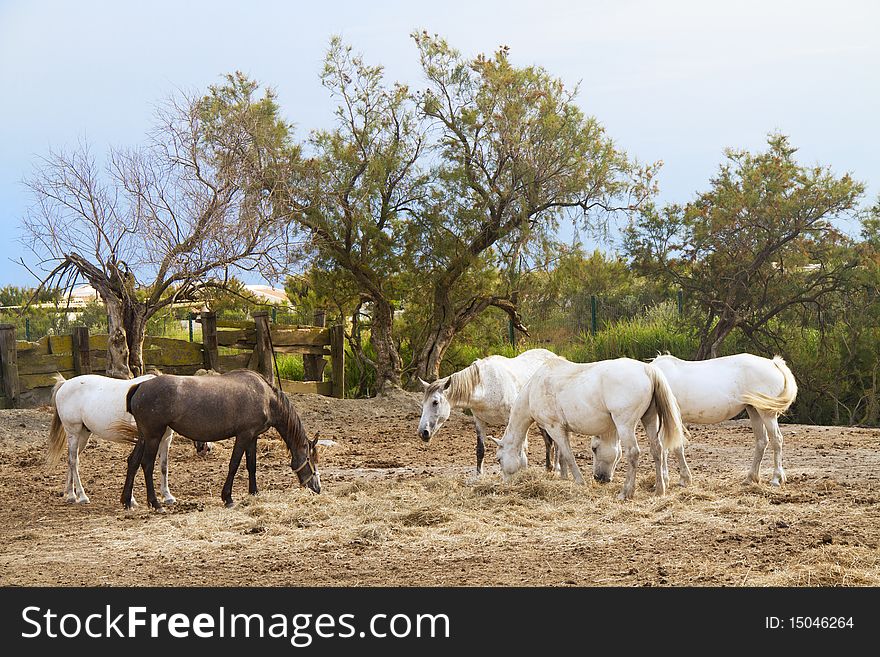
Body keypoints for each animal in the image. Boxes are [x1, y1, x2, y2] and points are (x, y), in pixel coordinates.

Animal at [46, 372, 177, 504]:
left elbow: (163, 466)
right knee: (74, 461)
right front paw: (131, 499)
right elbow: (135, 462)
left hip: (83, 435)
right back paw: (82, 496)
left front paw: (168, 496)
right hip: (73, 432)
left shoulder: (165, 439)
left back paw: (71, 495)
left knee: (71, 460)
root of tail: (65, 384)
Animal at [113, 368, 320, 508]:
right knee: (146, 464)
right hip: (154, 436)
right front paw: (227, 497)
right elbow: (234, 465)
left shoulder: (252, 437)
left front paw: (254, 492)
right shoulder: (244, 435)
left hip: (144, 436)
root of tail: (140, 386)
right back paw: (155, 503)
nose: (316, 488)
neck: (267, 398)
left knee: (133, 461)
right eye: (310, 458)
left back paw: (127, 501)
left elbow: (251, 465)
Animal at [416, 348, 560, 472]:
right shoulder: (479, 421)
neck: (486, 386)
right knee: (549, 442)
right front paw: (479, 476)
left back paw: (557, 469)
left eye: (435, 402)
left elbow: (520, 448)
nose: (423, 432)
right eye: (423, 403)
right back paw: (549, 468)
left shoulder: (513, 420)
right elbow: (480, 450)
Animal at [496, 356, 688, 500]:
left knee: (633, 453)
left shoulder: (554, 428)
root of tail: (647, 370)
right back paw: (659, 490)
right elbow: (562, 456)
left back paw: (626, 492)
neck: (533, 389)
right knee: (657, 449)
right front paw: (564, 478)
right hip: (650, 420)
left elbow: (568, 456)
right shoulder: (563, 430)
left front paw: (579, 482)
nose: (506, 484)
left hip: (625, 425)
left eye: (498, 459)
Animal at [644, 354, 800, 486]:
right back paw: (750, 478)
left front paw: (680, 479)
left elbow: (671, 447)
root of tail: (773, 363)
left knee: (777, 440)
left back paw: (776, 479)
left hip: (766, 413)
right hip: (754, 410)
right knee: (762, 441)